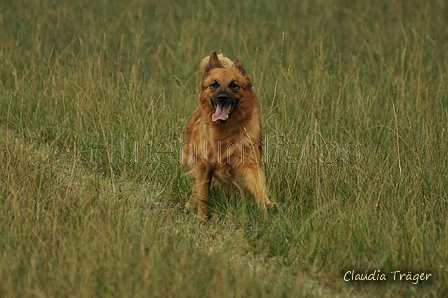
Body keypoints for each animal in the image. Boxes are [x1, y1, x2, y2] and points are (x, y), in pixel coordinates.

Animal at [181, 51, 272, 219]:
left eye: (234, 85)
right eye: (214, 84)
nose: (222, 97)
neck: (225, 131)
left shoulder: (248, 162)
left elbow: (258, 185)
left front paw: (266, 204)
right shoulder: (203, 165)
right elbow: (202, 194)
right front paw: (202, 217)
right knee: (195, 188)